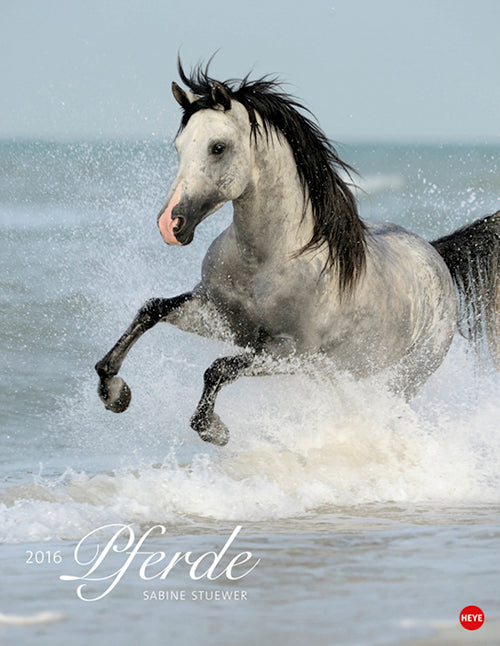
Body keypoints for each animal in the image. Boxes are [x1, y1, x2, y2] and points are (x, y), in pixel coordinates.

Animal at [95, 60, 500, 446]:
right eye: (179, 147)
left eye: (218, 147)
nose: (170, 224)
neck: (267, 260)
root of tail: (435, 254)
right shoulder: (218, 316)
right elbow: (151, 309)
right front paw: (114, 393)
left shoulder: (289, 351)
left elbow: (218, 368)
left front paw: (214, 430)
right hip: (334, 375)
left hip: (400, 379)